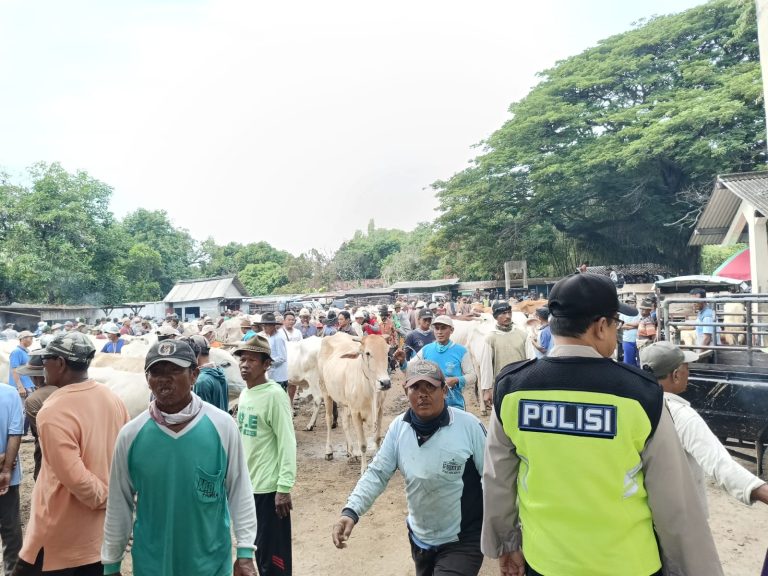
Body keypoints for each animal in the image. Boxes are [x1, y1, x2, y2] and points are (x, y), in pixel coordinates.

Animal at [318, 330, 390, 474]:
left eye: (387, 351)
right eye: (367, 353)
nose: (385, 383)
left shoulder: (379, 410)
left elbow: (377, 439)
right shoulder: (356, 413)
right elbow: (363, 444)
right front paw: (364, 469)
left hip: (344, 402)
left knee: (345, 422)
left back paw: (351, 453)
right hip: (325, 391)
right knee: (329, 419)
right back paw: (329, 451)